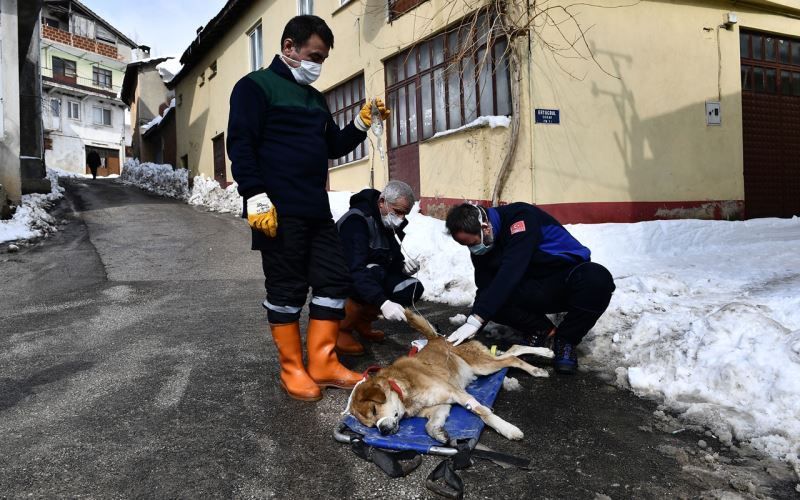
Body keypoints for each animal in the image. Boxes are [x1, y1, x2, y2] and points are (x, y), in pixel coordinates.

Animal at [346, 310, 552, 444]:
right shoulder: (441, 405)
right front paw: (439, 434)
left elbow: (484, 413)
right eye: (371, 425)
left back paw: (539, 364)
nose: (383, 430)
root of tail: (438, 338)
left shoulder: (457, 393)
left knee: (511, 358)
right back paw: (544, 356)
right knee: (513, 350)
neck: (405, 392)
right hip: (483, 364)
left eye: (374, 409)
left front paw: (508, 429)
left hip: (482, 366)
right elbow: (429, 426)